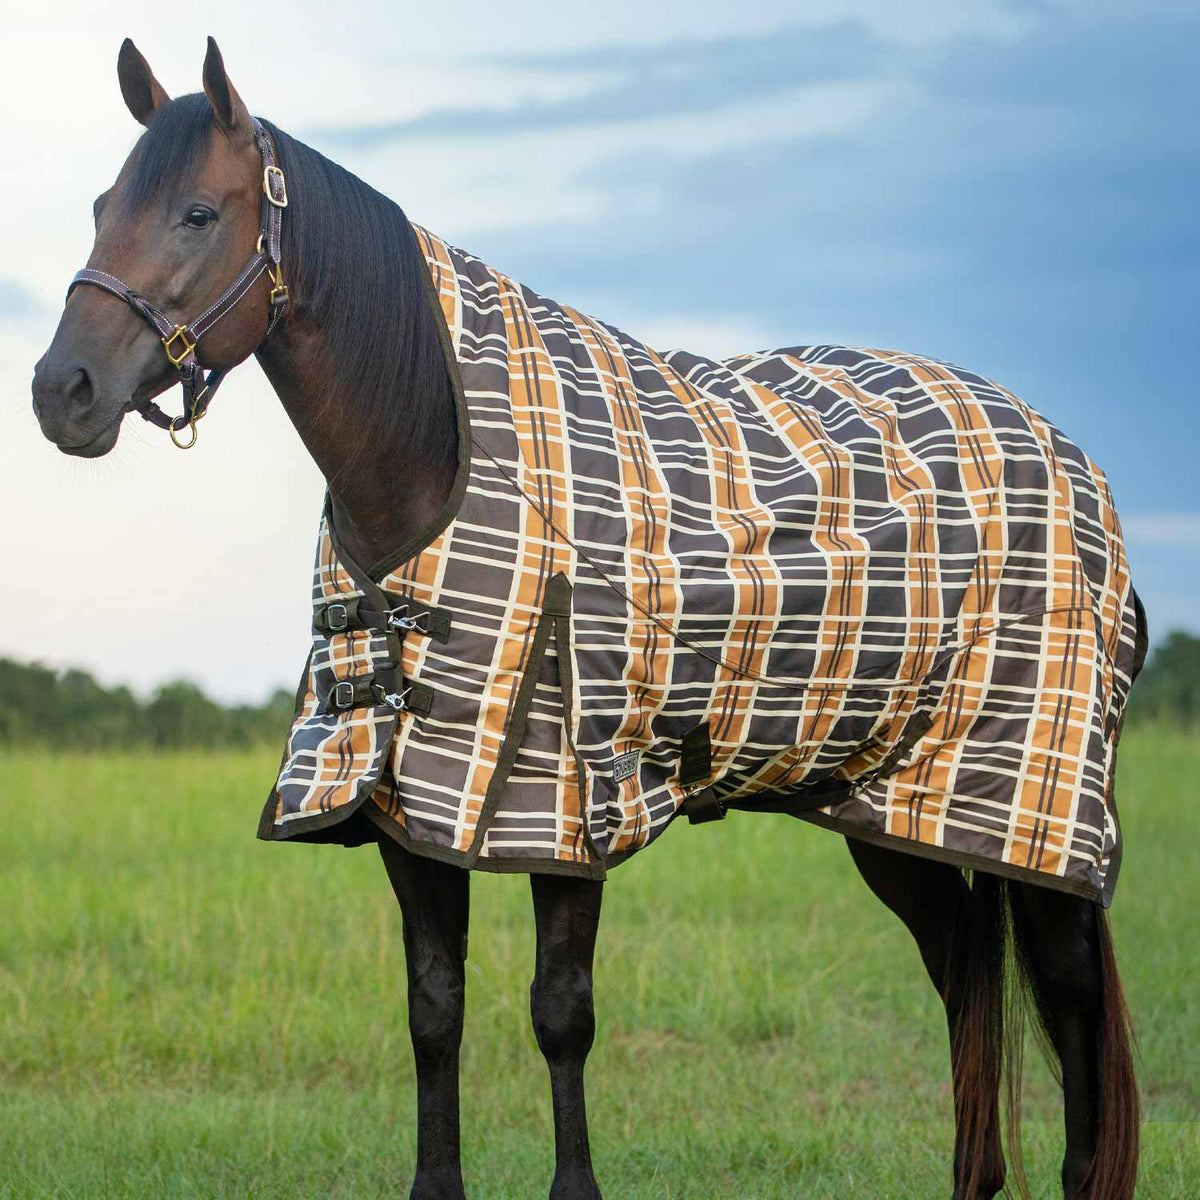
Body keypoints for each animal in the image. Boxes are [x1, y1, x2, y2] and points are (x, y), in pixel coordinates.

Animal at [30, 38, 1143, 1200]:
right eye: (104, 204)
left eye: (200, 213)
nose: (63, 390)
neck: (438, 454)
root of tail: (1066, 451)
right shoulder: (407, 802)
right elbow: (435, 1010)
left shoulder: (564, 801)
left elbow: (560, 1014)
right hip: (891, 810)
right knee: (966, 976)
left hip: (1036, 806)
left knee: (1065, 999)